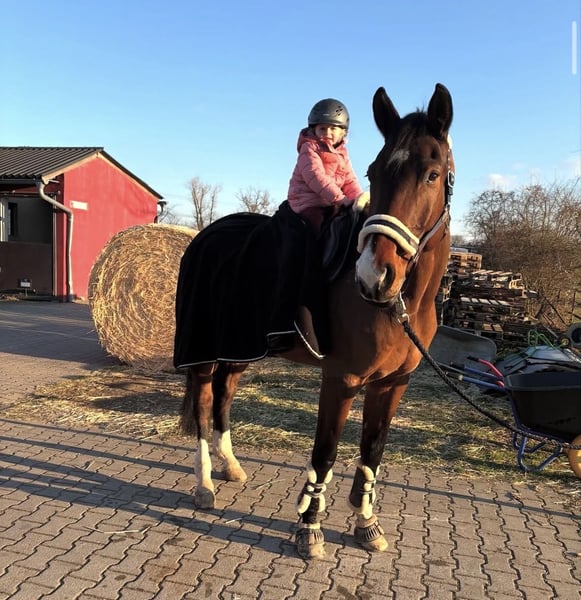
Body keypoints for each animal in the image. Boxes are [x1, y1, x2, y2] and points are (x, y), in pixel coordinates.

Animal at [176, 83, 454, 559]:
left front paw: (367, 524)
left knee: (225, 397)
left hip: (238, 348)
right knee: (204, 403)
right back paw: (205, 483)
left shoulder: (391, 384)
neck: (402, 304)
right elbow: (325, 452)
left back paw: (230, 466)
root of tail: (205, 236)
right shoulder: (341, 379)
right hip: (204, 351)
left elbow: (372, 451)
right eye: (374, 172)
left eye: (432, 174)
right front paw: (310, 527)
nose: (374, 276)